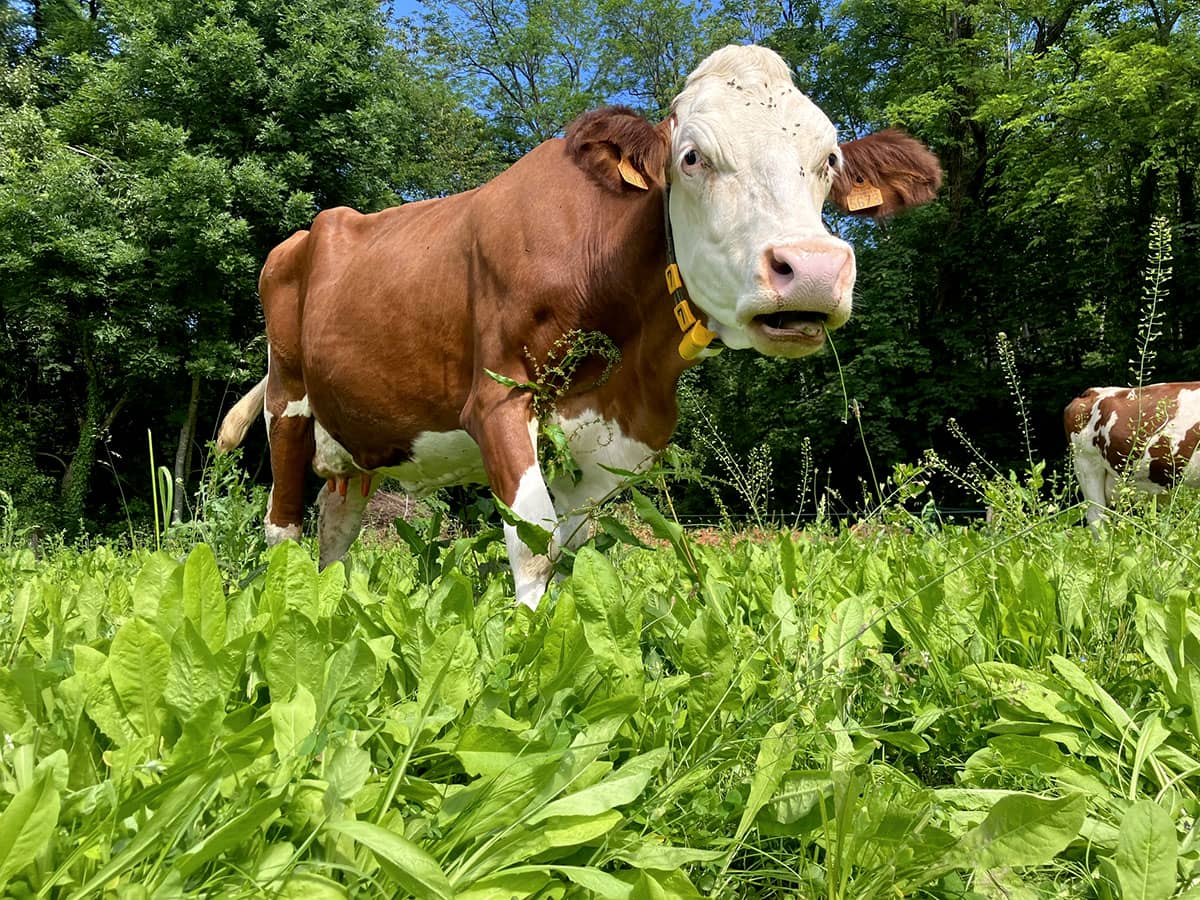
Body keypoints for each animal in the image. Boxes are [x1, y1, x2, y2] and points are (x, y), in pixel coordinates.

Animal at [217, 44, 942, 607]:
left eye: (829, 162)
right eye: (692, 158)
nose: (814, 267)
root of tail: (312, 231)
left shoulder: (618, 436)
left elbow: (572, 549)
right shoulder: (499, 398)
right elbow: (533, 544)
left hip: (357, 439)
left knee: (336, 527)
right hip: (289, 401)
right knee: (281, 527)